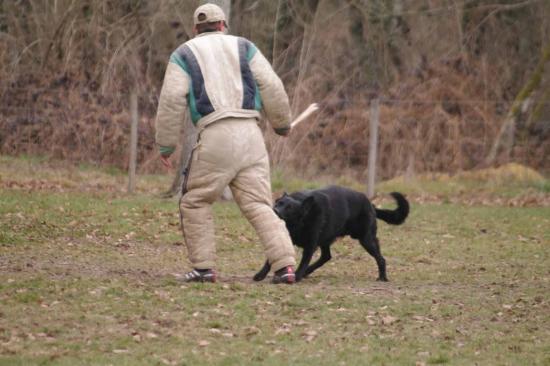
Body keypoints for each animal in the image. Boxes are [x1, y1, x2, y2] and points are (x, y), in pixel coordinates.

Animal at [254, 186, 410, 284]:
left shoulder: (310, 246)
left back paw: (382, 277)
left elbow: (303, 262)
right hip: (327, 240)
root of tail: (371, 205)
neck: (300, 222)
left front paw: (296, 276)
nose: (274, 210)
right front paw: (261, 274)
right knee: (326, 256)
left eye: (289, 208)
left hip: (366, 240)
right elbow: (271, 259)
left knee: (381, 259)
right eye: (278, 202)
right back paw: (308, 272)